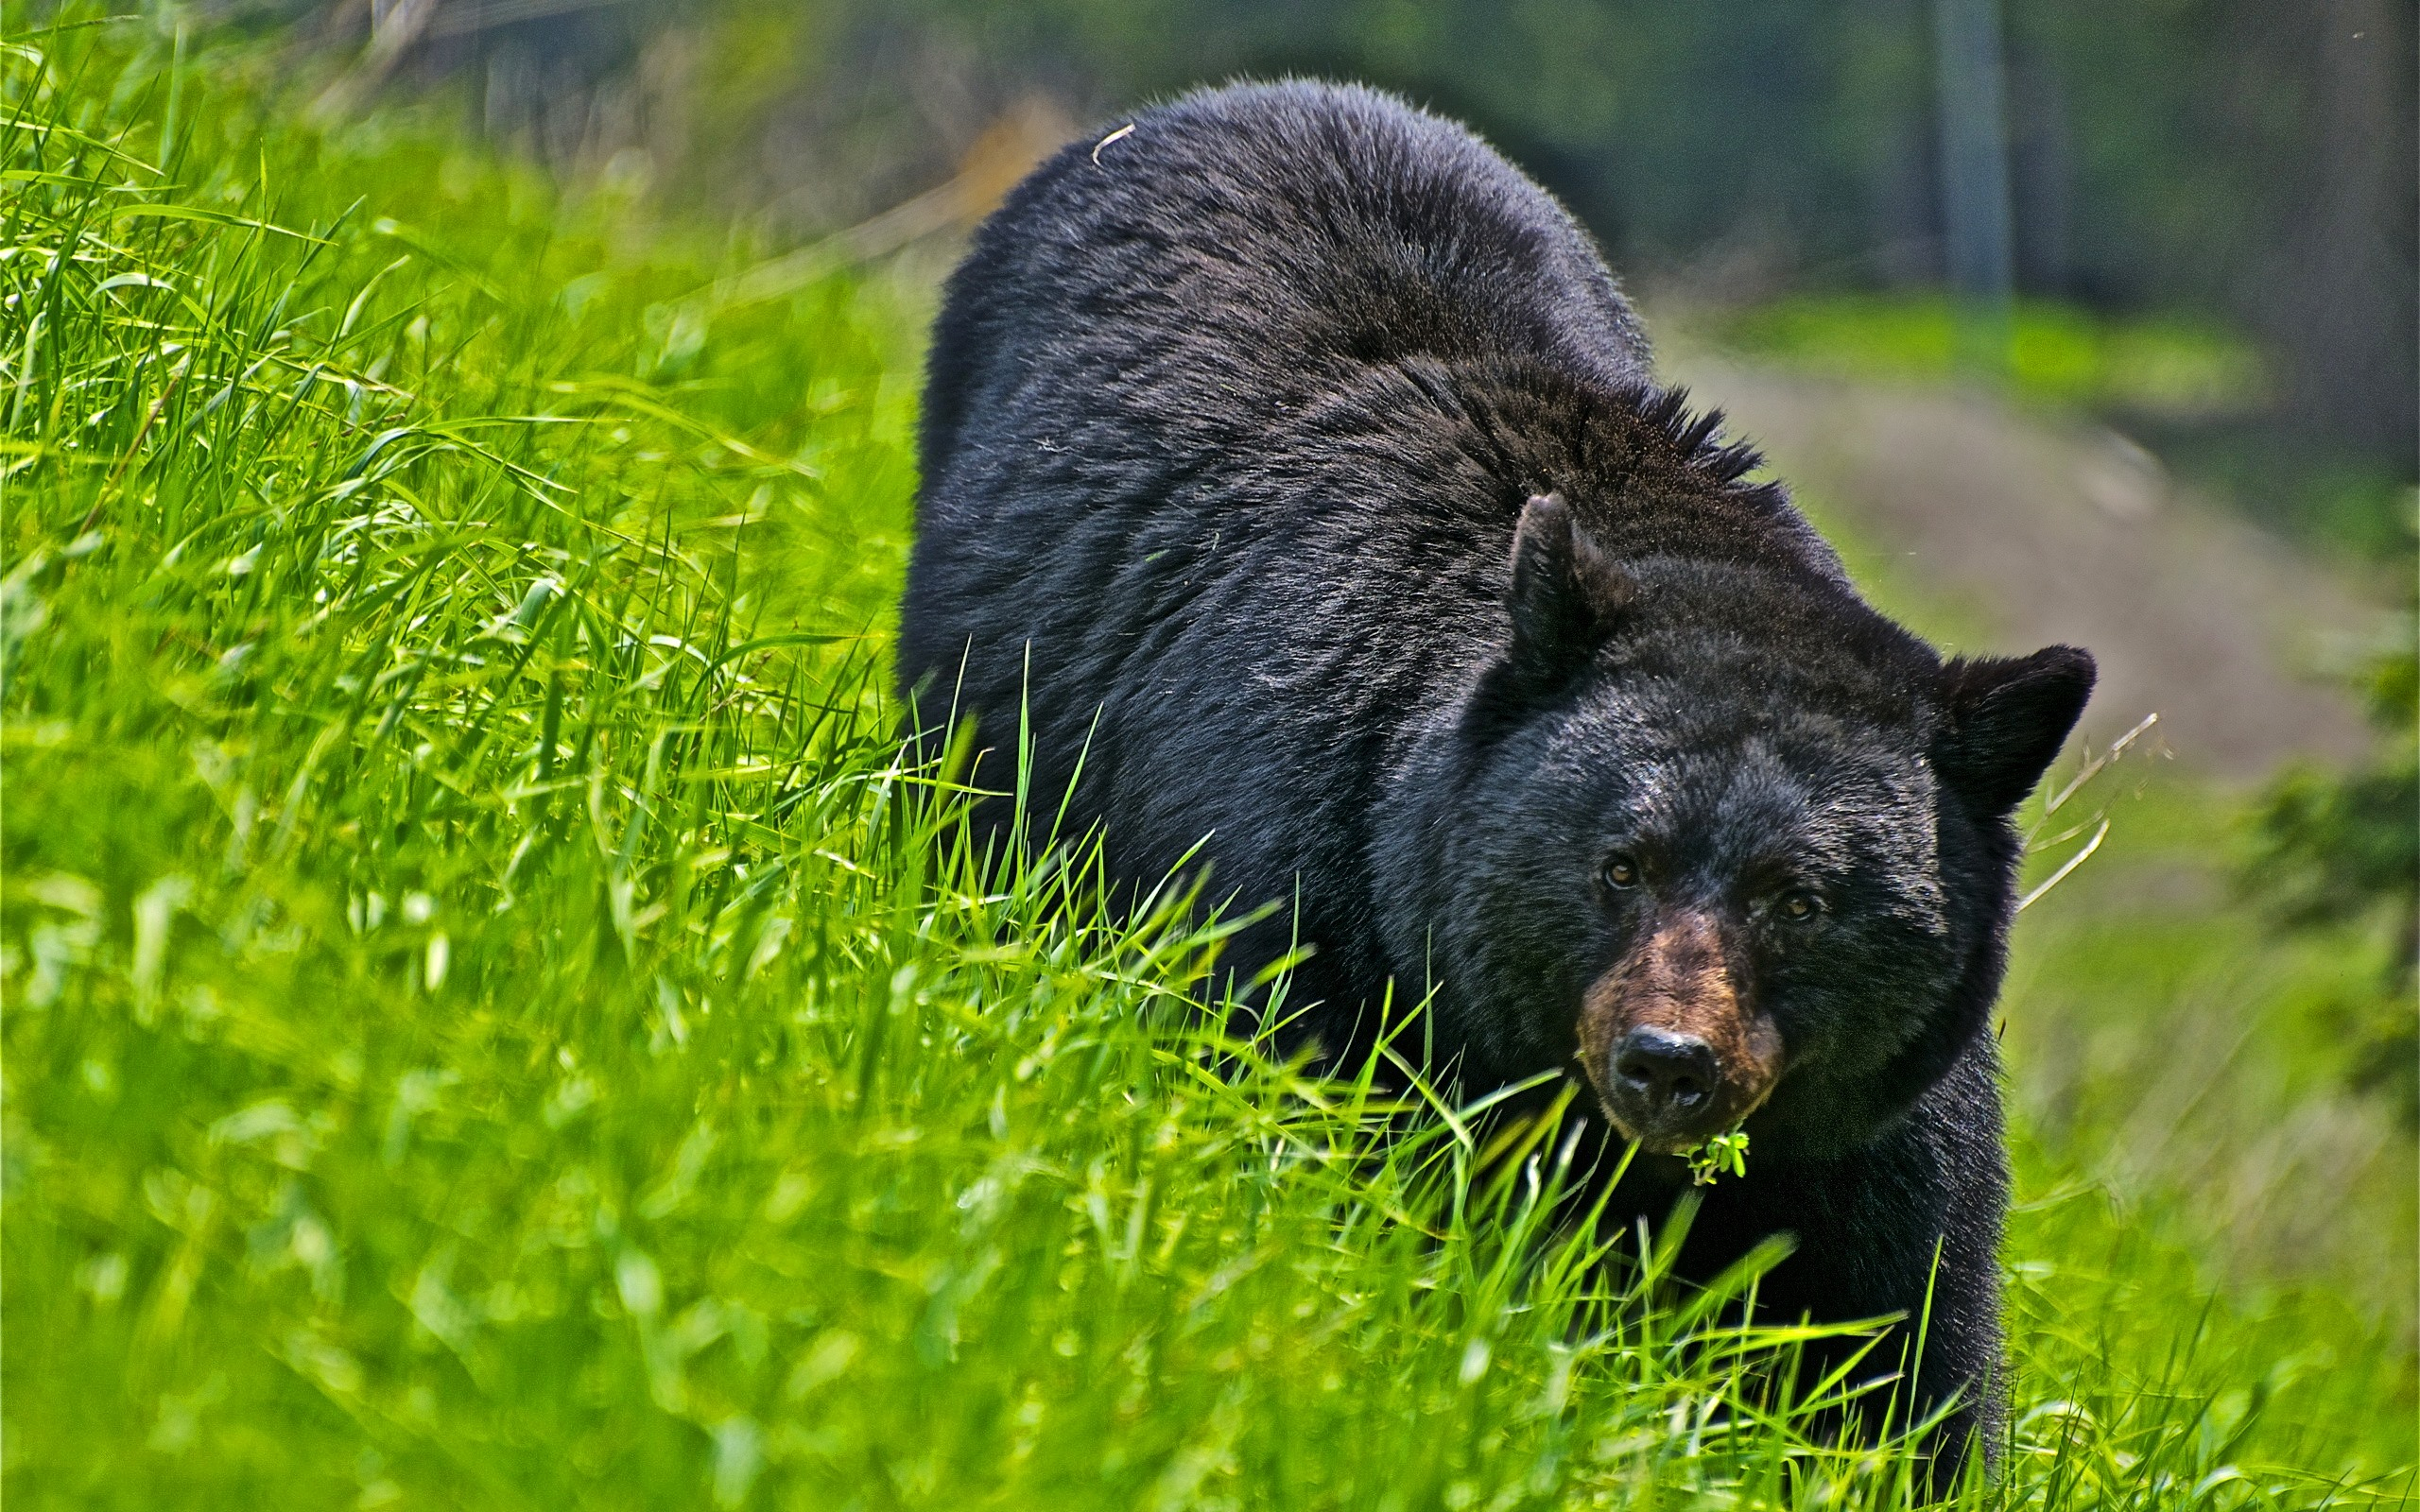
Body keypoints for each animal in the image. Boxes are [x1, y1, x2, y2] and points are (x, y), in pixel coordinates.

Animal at [900, 77, 2090, 1480]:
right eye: (1618, 864)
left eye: (1802, 900)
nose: (1667, 1062)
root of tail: (1245, 96)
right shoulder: (1308, 905)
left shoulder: (1871, 1133)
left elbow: (1899, 1343)